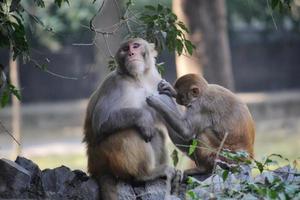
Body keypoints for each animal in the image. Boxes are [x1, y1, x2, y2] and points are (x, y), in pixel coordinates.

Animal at [83, 38, 176, 200]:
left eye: (136, 46)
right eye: (126, 49)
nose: (131, 53)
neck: (137, 78)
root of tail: (95, 164)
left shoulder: (155, 80)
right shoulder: (113, 83)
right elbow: (100, 123)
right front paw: (144, 118)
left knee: (157, 133)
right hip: (106, 154)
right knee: (130, 132)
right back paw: (145, 174)